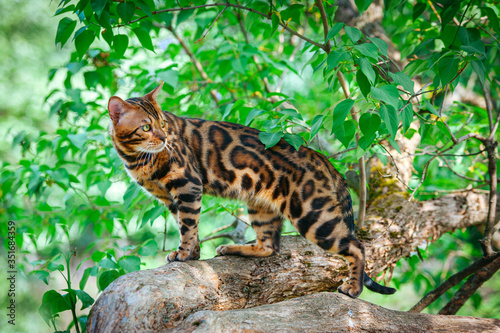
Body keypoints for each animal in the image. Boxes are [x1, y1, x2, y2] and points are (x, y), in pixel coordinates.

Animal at [108, 81, 394, 296]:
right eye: (146, 126)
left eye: (163, 124)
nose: (165, 138)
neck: (137, 158)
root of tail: (323, 159)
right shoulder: (169, 197)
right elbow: (188, 225)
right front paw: (194, 254)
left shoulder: (188, 184)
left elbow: (187, 225)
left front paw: (185, 253)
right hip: (261, 206)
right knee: (269, 246)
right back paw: (234, 249)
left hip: (313, 215)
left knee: (357, 246)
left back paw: (353, 288)